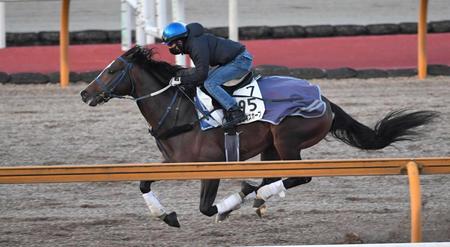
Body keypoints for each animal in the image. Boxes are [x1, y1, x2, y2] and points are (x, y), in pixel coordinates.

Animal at [80, 46, 436, 228]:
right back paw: (261, 197)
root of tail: (323, 99)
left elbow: (207, 208)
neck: (179, 111)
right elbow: (143, 182)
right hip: (271, 148)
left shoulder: (212, 165)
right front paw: (165, 214)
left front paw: (230, 203)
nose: (85, 93)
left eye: (113, 70)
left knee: (298, 176)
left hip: (288, 139)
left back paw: (258, 195)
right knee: (275, 176)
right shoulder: (172, 162)